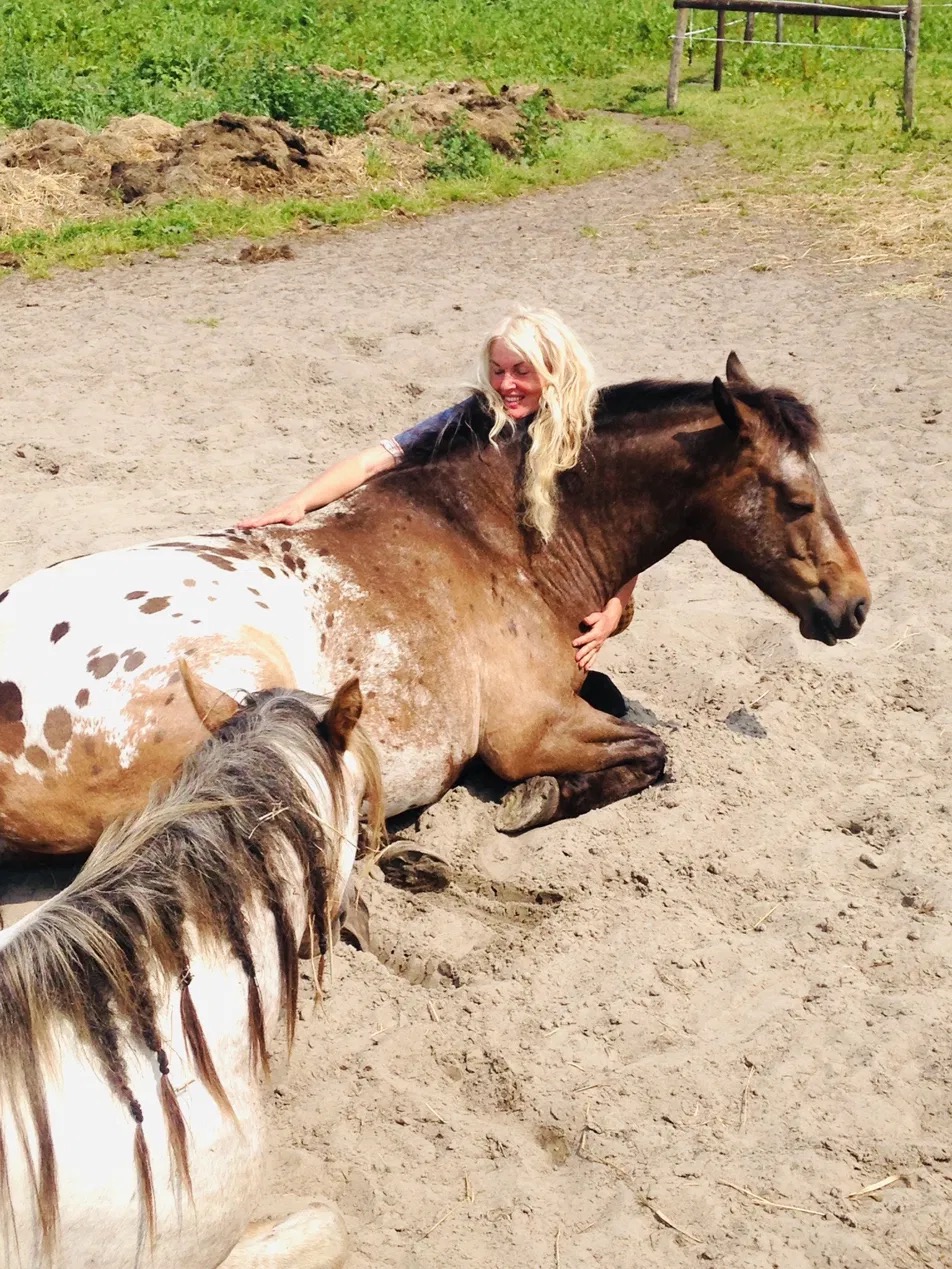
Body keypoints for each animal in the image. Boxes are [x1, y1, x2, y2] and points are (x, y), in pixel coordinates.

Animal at [0, 353, 870, 855]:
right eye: (796, 498)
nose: (855, 607)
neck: (506, 542)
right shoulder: (530, 729)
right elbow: (651, 751)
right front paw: (537, 799)